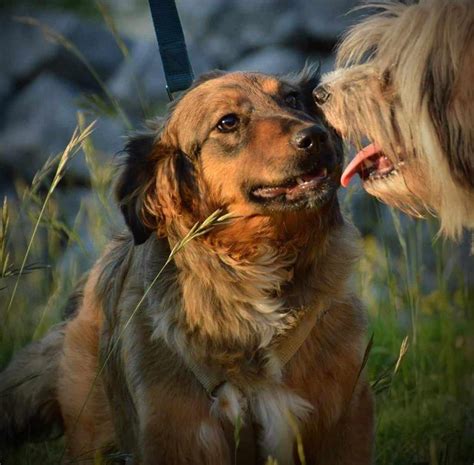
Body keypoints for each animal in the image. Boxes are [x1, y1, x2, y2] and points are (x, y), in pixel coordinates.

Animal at [0, 68, 374, 460]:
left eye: (292, 99)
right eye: (227, 122)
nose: (315, 136)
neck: (254, 266)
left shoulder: (347, 418)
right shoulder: (176, 434)